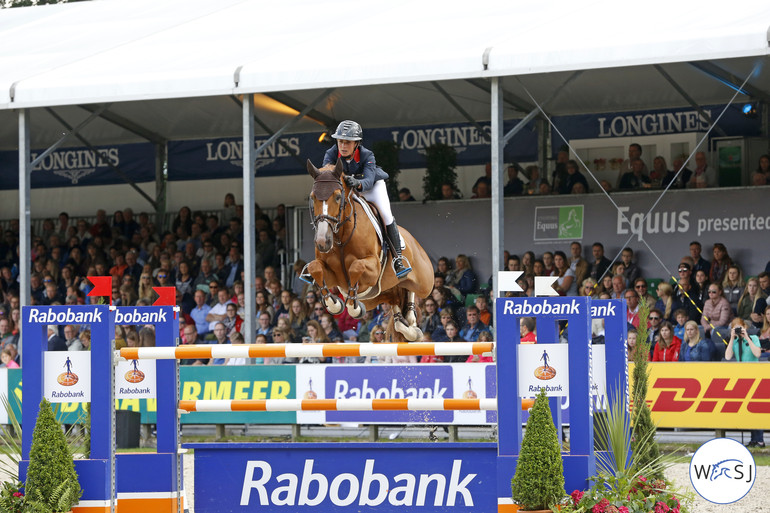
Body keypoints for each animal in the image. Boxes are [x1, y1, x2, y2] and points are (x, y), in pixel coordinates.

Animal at [304, 158, 432, 338]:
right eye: (313, 197)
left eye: (337, 197)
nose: (323, 242)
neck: (341, 239)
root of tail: (415, 242)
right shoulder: (333, 277)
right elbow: (315, 267)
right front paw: (335, 304)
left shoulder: (373, 269)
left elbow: (356, 267)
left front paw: (354, 308)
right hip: (378, 297)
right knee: (396, 307)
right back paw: (409, 327)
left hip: (424, 283)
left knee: (411, 288)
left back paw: (412, 322)